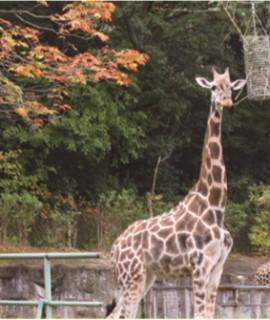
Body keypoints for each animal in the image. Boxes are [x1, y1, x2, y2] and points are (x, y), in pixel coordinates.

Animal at [106, 67, 246, 318]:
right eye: (213, 86)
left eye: (230, 87)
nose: (227, 101)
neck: (216, 207)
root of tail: (113, 250)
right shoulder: (199, 266)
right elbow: (198, 314)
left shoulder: (218, 268)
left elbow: (209, 314)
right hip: (132, 276)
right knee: (122, 314)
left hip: (146, 276)